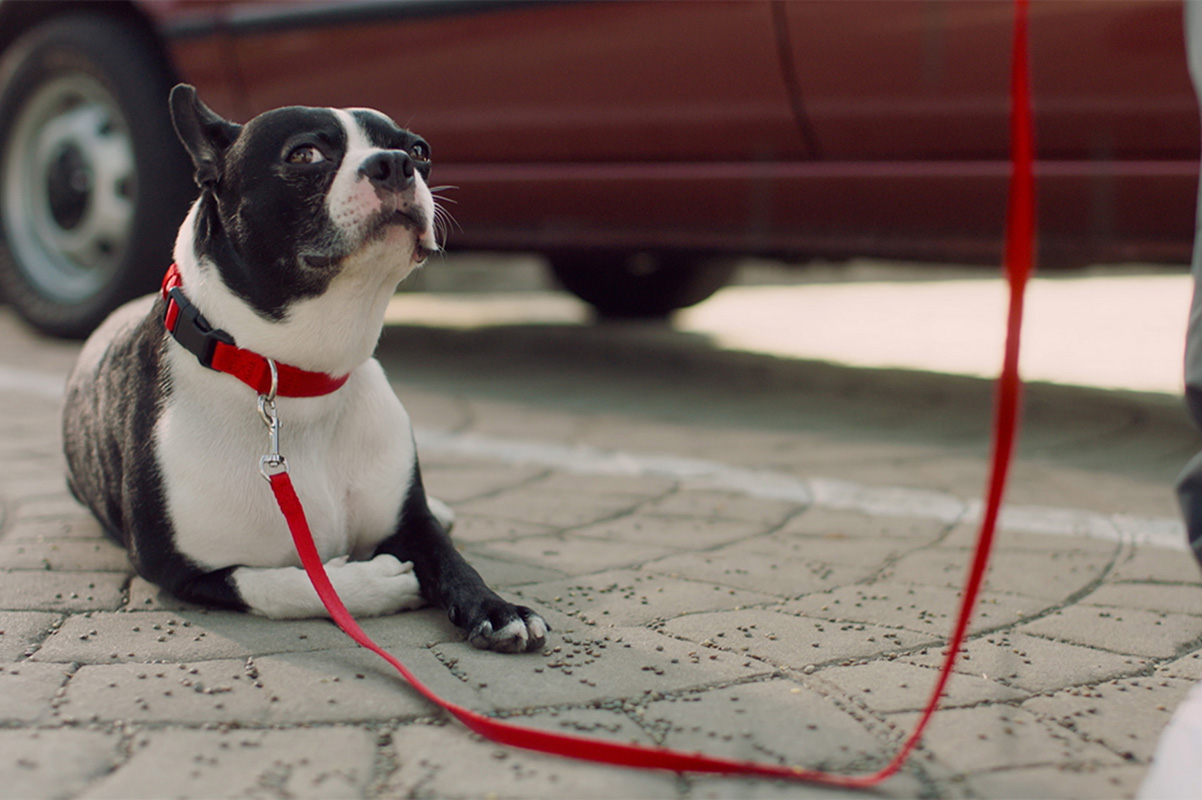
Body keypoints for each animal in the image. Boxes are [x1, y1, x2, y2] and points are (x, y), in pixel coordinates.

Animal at [62, 84, 550, 653]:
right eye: (304, 156)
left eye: (420, 150)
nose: (394, 163)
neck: (297, 378)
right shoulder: (178, 568)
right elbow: (289, 584)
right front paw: (371, 581)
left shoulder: (411, 522)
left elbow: (452, 560)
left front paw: (495, 608)